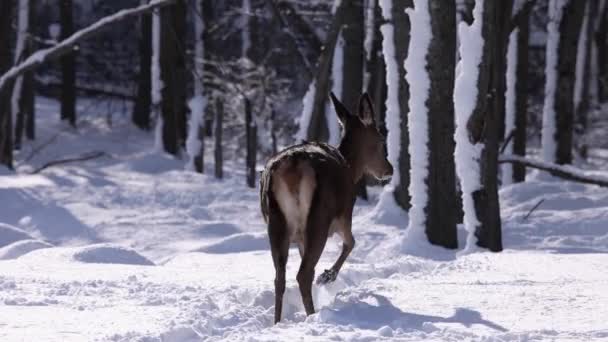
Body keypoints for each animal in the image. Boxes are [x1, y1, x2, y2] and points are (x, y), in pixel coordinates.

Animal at [258, 91, 392, 324]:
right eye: (381, 139)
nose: (389, 169)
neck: (352, 168)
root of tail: (292, 166)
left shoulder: (302, 239)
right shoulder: (344, 215)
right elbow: (351, 243)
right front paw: (327, 276)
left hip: (275, 223)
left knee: (280, 277)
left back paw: (278, 322)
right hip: (320, 217)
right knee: (303, 274)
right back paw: (313, 314)